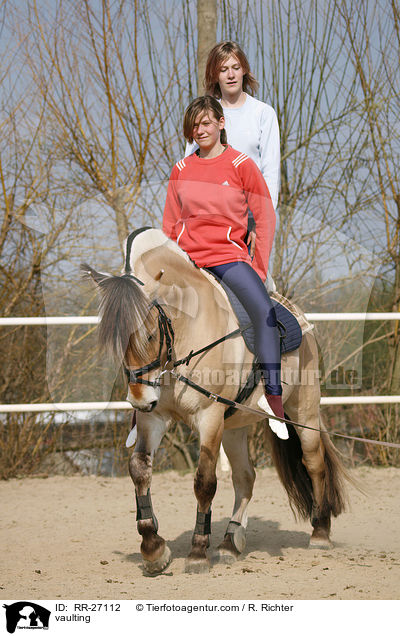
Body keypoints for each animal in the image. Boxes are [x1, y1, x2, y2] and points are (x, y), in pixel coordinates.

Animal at [82, 229, 350, 576]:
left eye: (151, 334)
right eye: (116, 338)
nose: (139, 401)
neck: (186, 336)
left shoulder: (208, 417)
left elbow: (204, 482)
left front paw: (197, 552)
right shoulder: (154, 418)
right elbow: (140, 469)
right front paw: (153, 548)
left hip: (302, 412)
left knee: (314, 463)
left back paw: (319, 534)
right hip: (234, 425)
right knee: (245, 477)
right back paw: (230, 542)